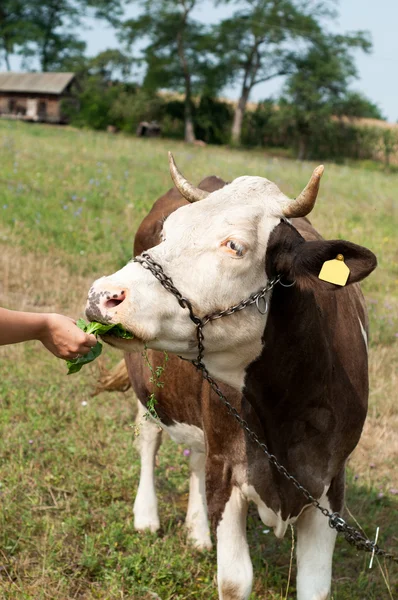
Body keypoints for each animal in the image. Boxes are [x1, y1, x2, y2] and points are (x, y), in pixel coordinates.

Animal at [86, 156, 376, 600]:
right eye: (168, 231)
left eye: (235, 246)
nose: (103, 294)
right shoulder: (228, 471)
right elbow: (234, 581)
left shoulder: (330, 487)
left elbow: (315, 587)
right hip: (149, 384)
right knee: (149, 437)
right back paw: (147, 516)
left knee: (195, 453)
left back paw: (197, 531)